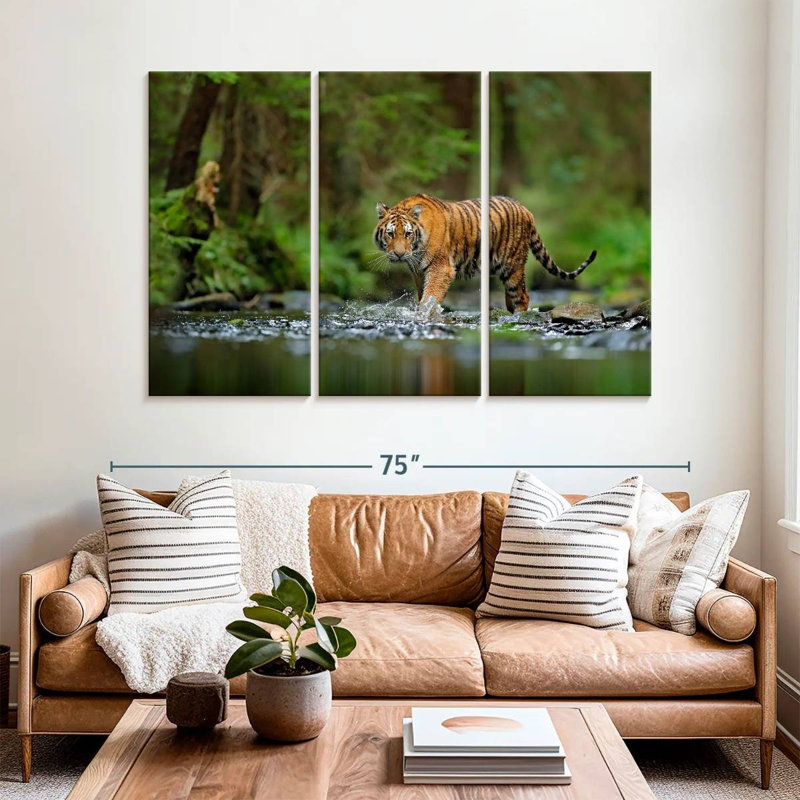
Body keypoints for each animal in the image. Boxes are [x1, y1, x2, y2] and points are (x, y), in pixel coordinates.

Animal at [374, 194, 596, 312]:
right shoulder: (419, 271)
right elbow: (423, 295)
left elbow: (430, 296)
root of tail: (526, 209)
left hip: (512, 266)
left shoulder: (440, 268)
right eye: (390, 234)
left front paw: (425, 314)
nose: (399, 254)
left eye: (408, 234)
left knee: (523, 296)